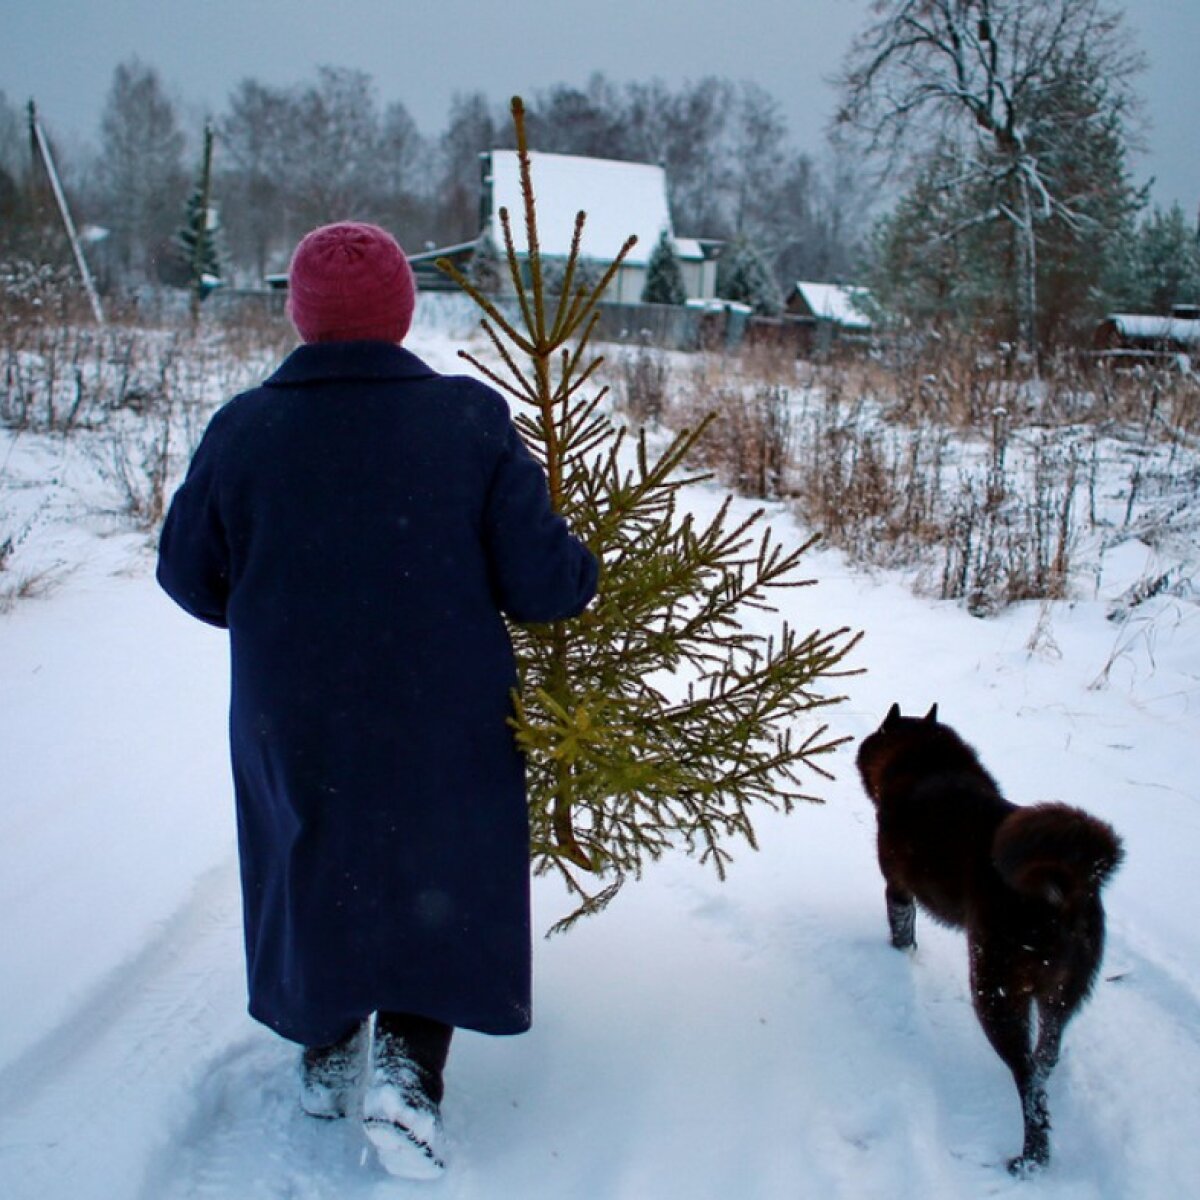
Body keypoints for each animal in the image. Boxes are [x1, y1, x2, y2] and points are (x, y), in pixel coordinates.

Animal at [854, 700, 1123, 1171]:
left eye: (873, 737)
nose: (859, 745)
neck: (926, 762)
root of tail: (1069, 886)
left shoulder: (898, 889)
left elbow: (902, 934)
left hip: (996, 991)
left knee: (1028, 1082)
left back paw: (1031, 1161)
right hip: (1060, 999)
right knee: (1045, 1058)